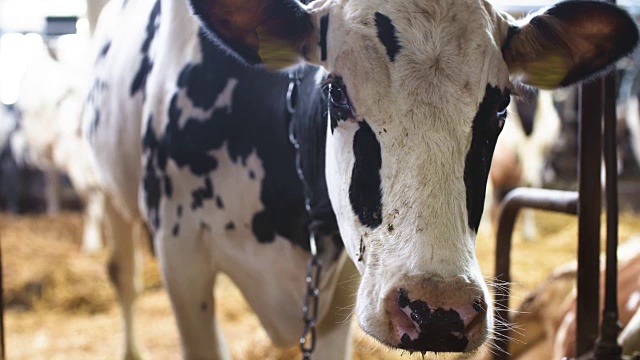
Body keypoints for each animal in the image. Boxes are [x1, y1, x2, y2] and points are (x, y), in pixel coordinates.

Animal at [85, 0, 640, 358]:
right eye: (336, 91)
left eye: (501, 106)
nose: (438, 310)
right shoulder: (182, 257)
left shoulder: (341, 290)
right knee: (123, 274)